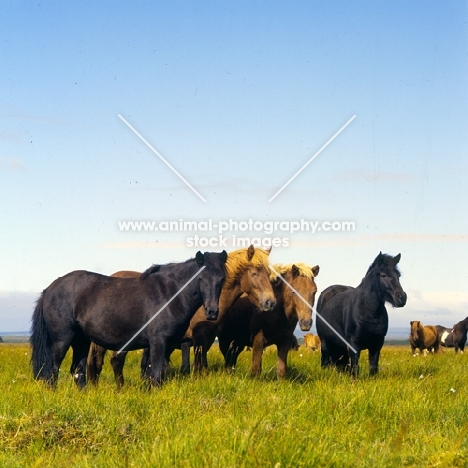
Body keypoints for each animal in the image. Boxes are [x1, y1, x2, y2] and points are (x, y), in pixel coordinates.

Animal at [30, 250, 228, 390]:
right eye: (200, 278)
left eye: (222, 279)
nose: (212, 312)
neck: (170, 293)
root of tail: (50, 288)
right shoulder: (159, 341)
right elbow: (157, 373)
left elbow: (152, 372)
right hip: (63, 339)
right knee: (53, 370)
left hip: (81, 340)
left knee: (78, 371)